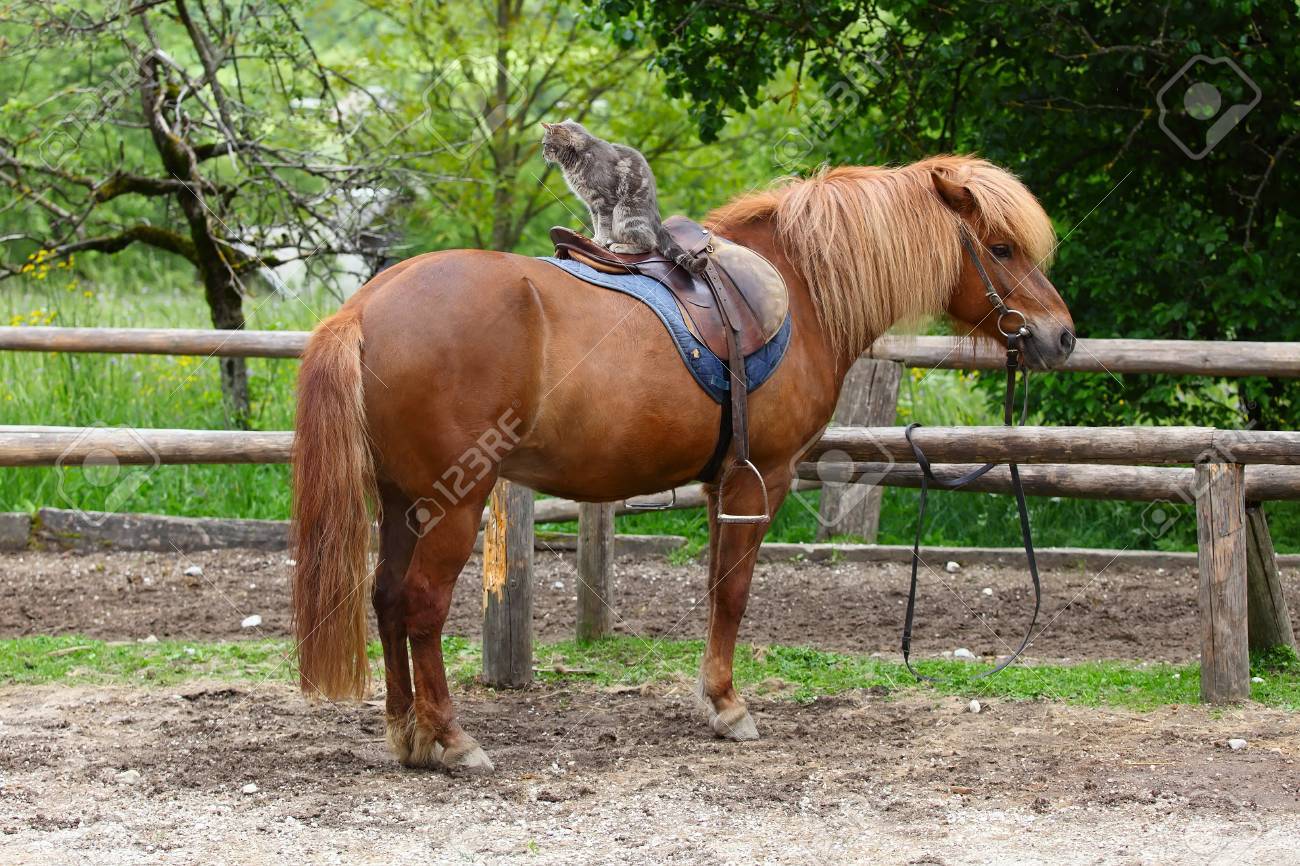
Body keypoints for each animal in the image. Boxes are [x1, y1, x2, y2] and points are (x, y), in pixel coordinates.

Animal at [292, 153, 1076, 769]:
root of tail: (364, 308)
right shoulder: (762, 478)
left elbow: (714, 588)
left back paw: (407, 735)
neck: (799, 286)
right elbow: (733, 592)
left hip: (402, 500)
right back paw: (452, 739)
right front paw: (728, 706)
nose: (1061, 336)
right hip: (455, 499)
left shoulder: (720, 483)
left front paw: (713, 696)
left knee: (386, 599)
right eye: (1002, 248)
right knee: (421, 604)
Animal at [540, 119, 707, 271]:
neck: (578, 158)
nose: (542, 155)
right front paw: (595, 239)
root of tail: (656, 221)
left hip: (624, 213)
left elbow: (603, 224)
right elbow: (596, 223)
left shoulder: (605, 201)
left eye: (545, 144)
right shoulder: (592, 204)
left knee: (650, 243)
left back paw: (620, 246)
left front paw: (598, 242)